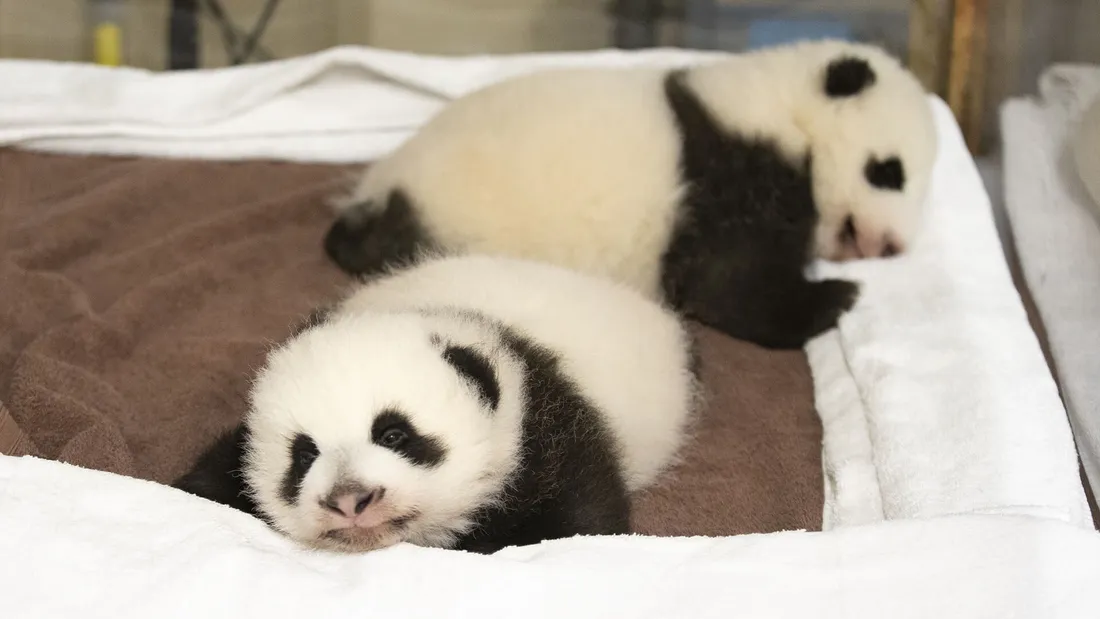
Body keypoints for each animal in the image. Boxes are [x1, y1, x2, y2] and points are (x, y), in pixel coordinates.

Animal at [322, 39, 938, 350]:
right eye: (889, 171)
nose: (892, 246)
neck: (786, 108)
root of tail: (381, 190)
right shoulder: (733, 168)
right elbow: (726, 285)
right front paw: (836, 297)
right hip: (456, 216)